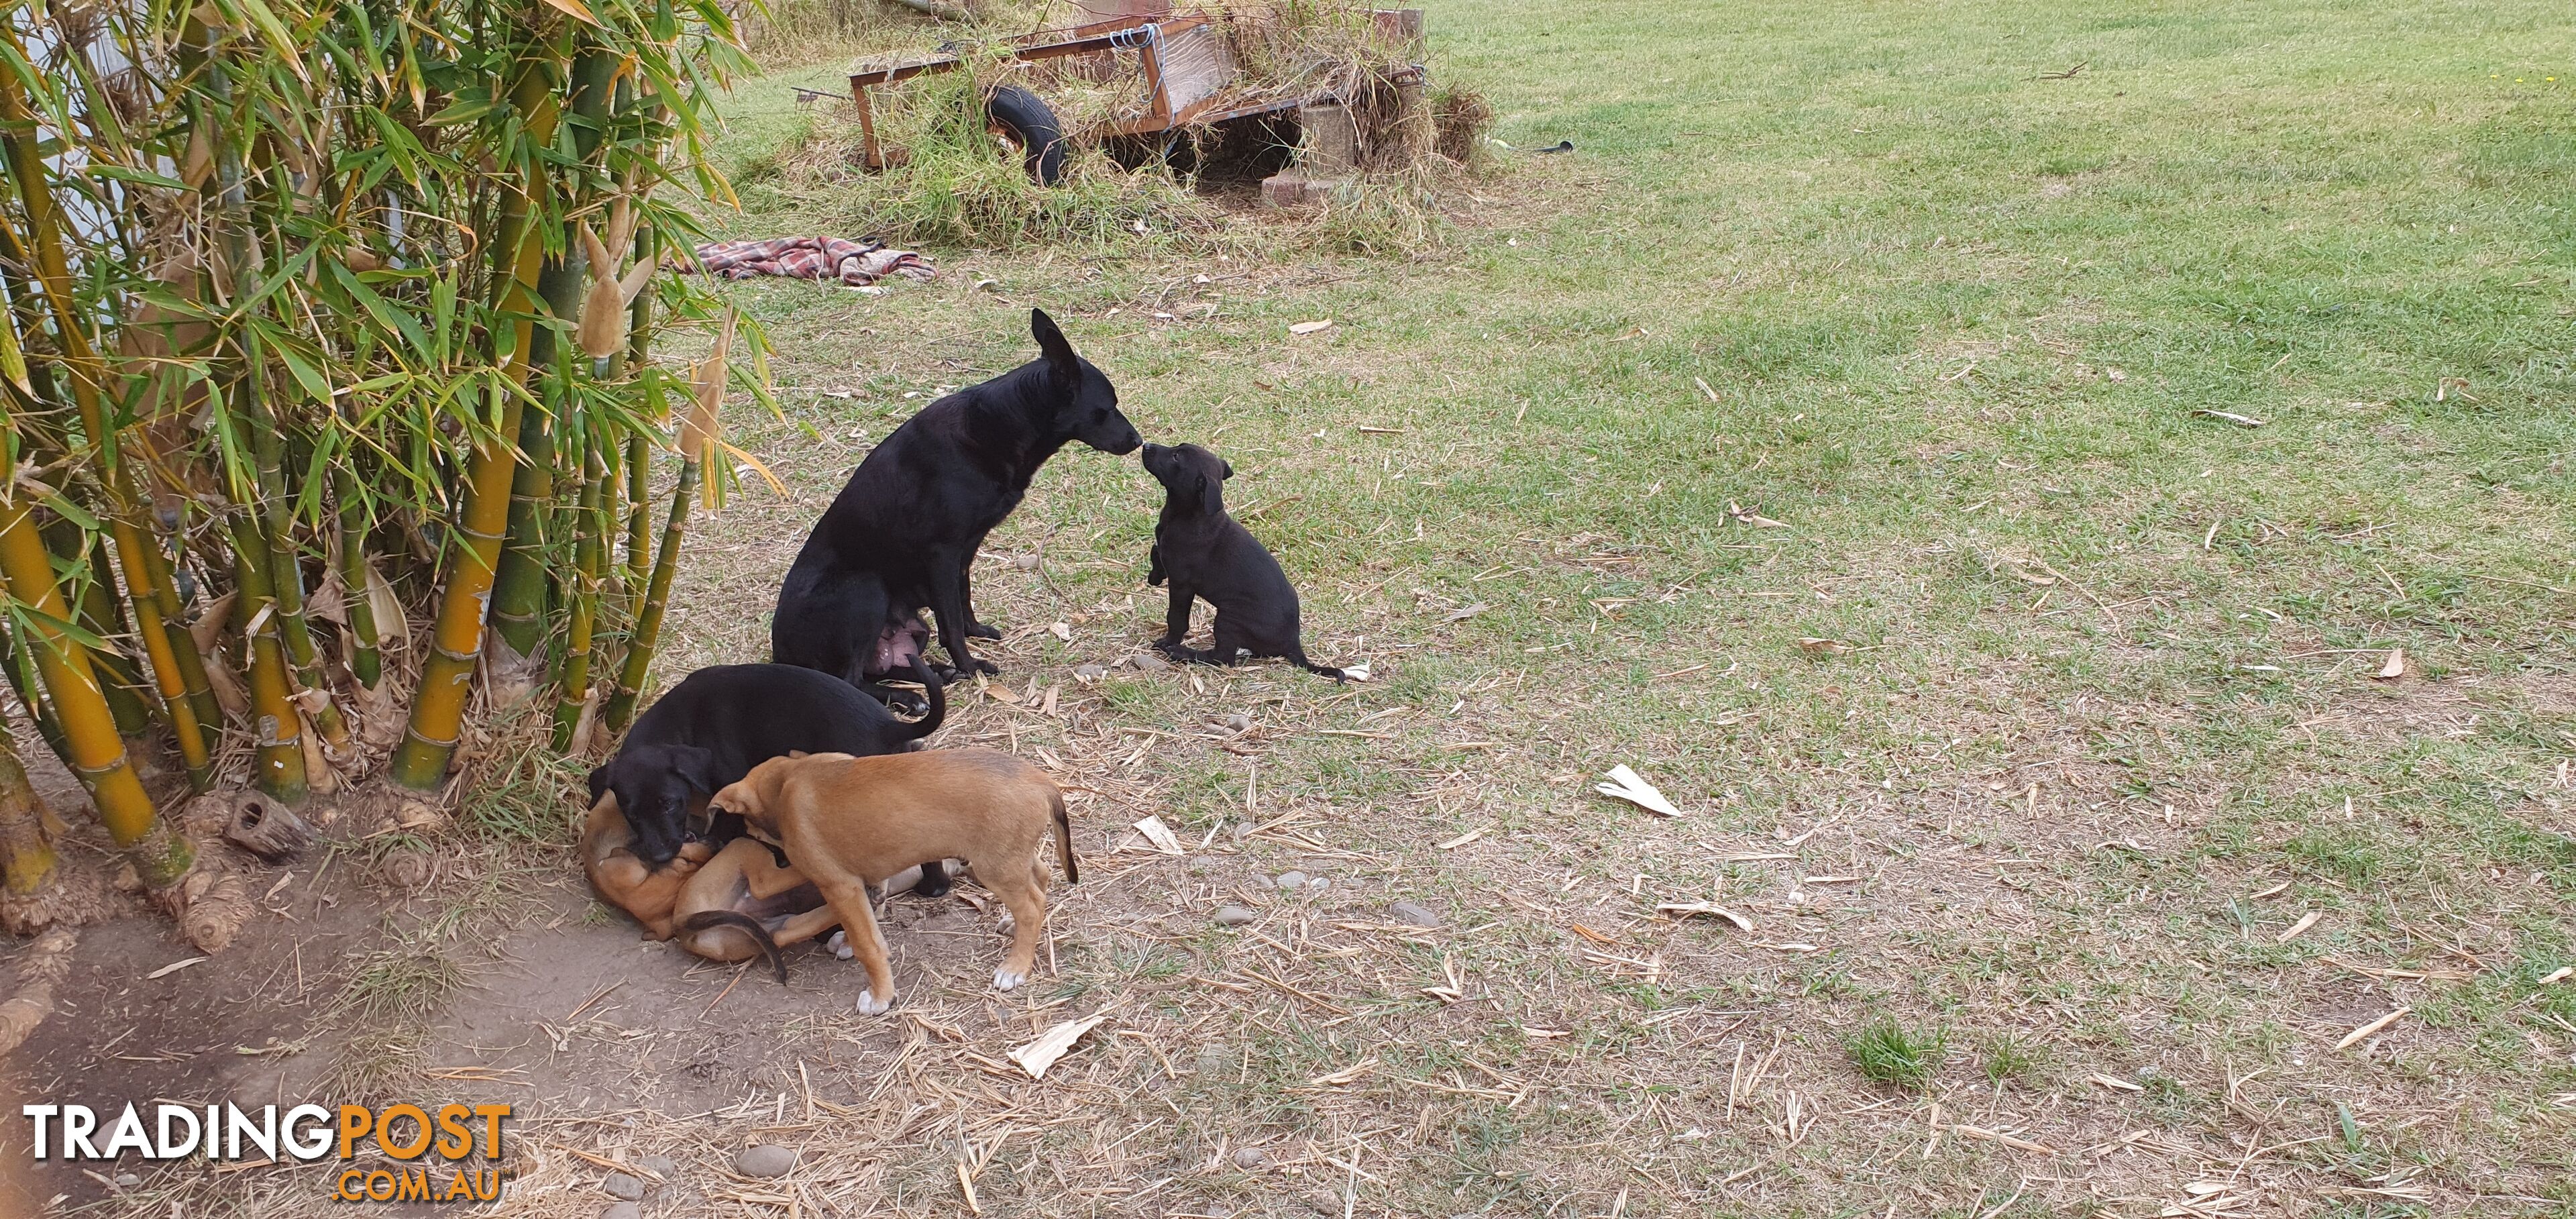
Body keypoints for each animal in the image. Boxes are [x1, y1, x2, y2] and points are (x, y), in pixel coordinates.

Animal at [590, 659, 953, 886]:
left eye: (669, 804)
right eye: (632, 814)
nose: (661, 856)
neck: (680, 721)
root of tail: (888, 726)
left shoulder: (729, 786)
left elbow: (726, 824)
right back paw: (934, 888)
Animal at [706, 747, 1077, 1010]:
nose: (780, 860)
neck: (788, 779)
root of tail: (1040, 780)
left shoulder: (840, 886)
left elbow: (868, 944)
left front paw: (880, 995)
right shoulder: (863, 882)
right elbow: (870, 922)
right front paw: (848, 942)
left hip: (994, 865)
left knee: (1031, 906)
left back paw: (1015, 966)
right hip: (1010, 857)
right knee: (1040, 877)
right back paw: (1014, 927)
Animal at [767, 309, 1143, 700]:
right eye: (1107, 409)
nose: (1138, 441)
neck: (1000, 423)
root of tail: (782, 655)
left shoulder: (967, 548)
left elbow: (962, 599)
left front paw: (975, 633)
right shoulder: (942, 552)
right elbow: (950, 621)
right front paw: (970, 665)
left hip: (914, 628)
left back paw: (937, 674)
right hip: (866, 590)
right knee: (852, 680)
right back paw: (912, 696)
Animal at [1148, 440, 1350, 680]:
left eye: (1177, 457)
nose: (1146, 445)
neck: (1188, 515)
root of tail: (1294, 644)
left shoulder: (1181, 585)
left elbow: (1176, 618)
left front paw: (1168, 642)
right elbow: (1155, 550)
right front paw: (1154, 575)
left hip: (1228, 619)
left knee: (1223, 658)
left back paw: (1182, 652)